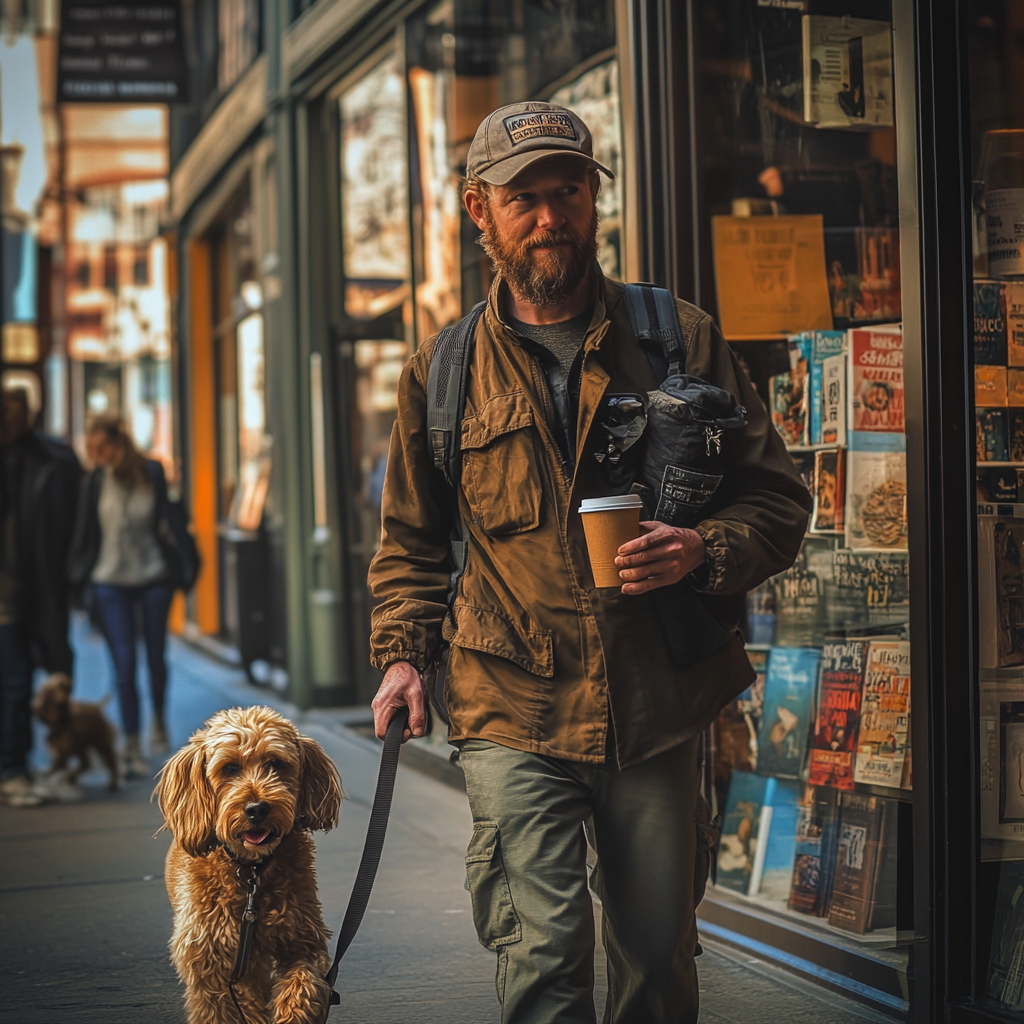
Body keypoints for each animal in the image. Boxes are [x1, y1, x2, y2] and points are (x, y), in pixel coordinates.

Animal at [153, 704, 342, 1024]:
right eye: (229, 768)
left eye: (275, 764)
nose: (257, 808)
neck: (250, 871)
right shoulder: (209, 960)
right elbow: (218, 1010)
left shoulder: (303, 940)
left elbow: (302, 984)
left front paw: (293, 1012)